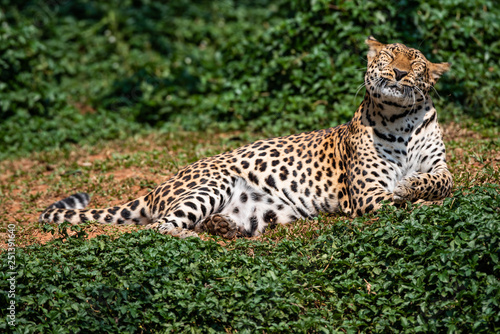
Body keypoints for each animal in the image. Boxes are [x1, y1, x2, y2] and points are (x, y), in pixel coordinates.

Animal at [39, 37, 454, 240]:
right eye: (388, 56)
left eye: (416, 63)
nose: (399, 73)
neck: (400, 119)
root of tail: (157, 187)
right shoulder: (367, 193)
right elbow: (402, 205)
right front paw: (415, 199)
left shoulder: (440, 165)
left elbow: (441, 181)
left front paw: (414, 186)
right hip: (214, 183)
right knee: (156, 229)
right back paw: (192, 238)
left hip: (265, 211)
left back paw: (222, 229)